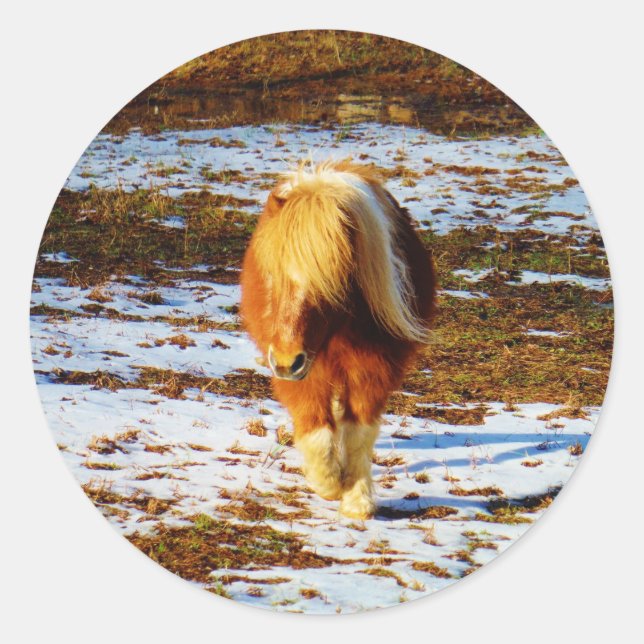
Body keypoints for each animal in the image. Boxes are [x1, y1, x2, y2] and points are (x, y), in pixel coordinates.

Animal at [240, 159, 436, 519]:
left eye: (331, 282)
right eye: (272, 276)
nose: (287, 361)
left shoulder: (374, 371)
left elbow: (359, 433)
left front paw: (357, 499)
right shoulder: (302, 373)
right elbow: (316, 430)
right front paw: (328, 483)